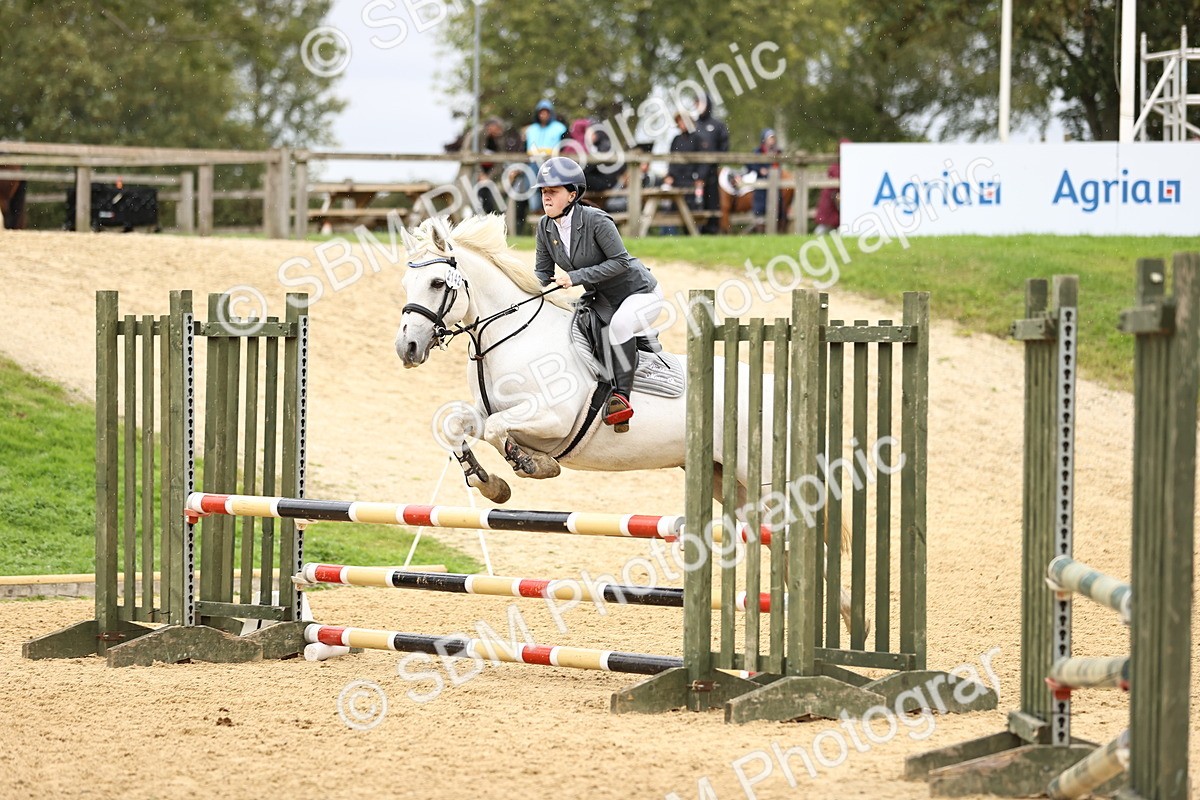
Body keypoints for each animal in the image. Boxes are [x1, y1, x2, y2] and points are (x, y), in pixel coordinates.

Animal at [394, 214, 855, 628]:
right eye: (406, 285)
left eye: (437, 284)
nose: (407, 348)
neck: (512, 336)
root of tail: (782, 388)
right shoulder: (487, 412)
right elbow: (454, 426)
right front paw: (492, 484)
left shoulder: (553, 419)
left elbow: (498, 432)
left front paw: (532, 465)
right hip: (731, 483)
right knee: (781, 543)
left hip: (765, 481)